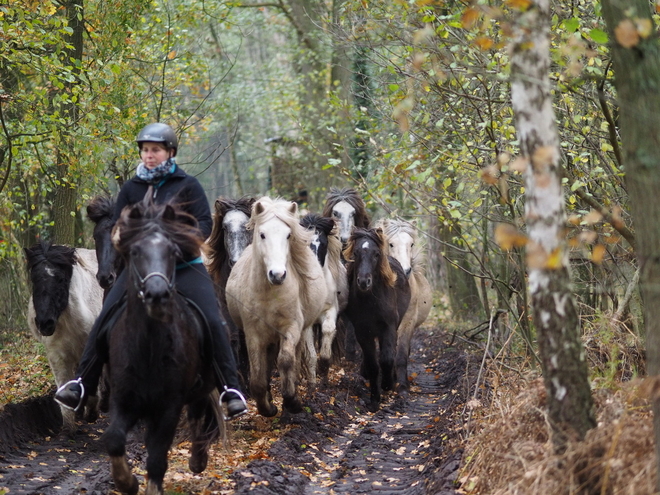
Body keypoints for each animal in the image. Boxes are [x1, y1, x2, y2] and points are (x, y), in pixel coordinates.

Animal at [24, 242, 103, 432]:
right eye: (34, 279)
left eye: (60, 279)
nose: (45, 323)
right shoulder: (57, 355)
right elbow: (64, 384)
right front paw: (69, 428)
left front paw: (92, 411)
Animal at [105, 198, 222, 495]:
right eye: (135, 251)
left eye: (172, 252)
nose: (157, 295)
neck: (148, 348)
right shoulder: (123, 398)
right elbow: (114, 438)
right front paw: (126, 482)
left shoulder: (170, 405)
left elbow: (157, 458)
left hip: (201, 385)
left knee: (197, 416)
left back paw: (197, 460)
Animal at [226, 198, 328, 418]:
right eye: (262, 234)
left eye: (288, 235)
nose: (278, 274)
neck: (269, 294)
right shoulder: (253, 334)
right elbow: (257, 374)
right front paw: (267, 408)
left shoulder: (291, 328)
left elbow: (286, 361)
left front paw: (291, 401)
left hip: (299, 332)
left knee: (294, 358)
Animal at [342, 230, 410, 414]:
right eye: (356, 253)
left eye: (376, 254)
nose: (364, 282)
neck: (370, 302)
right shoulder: (362, 332)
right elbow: (373, 365)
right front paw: (374, 401)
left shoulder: (389, 327)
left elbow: (386, 358)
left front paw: (387, 384)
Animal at [376, 220, 434, 396]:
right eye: (391, 244)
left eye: (411, 244)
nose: (406, 271)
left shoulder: (407, 322)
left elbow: (401, 355)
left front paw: (401, 386)